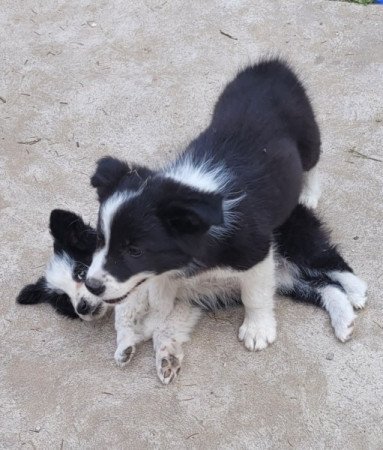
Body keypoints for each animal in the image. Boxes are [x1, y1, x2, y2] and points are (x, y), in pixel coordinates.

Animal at [84, 58, 324, 352]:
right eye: (100, 238)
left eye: (135, 251)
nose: (92, 286)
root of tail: (270, 65)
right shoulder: (166, 265)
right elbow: (160, 296)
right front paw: (151, 321)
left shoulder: (257, 251)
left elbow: (255, 294)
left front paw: (258, 328)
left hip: (308, 133)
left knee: (312, 164)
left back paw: (309, 194)